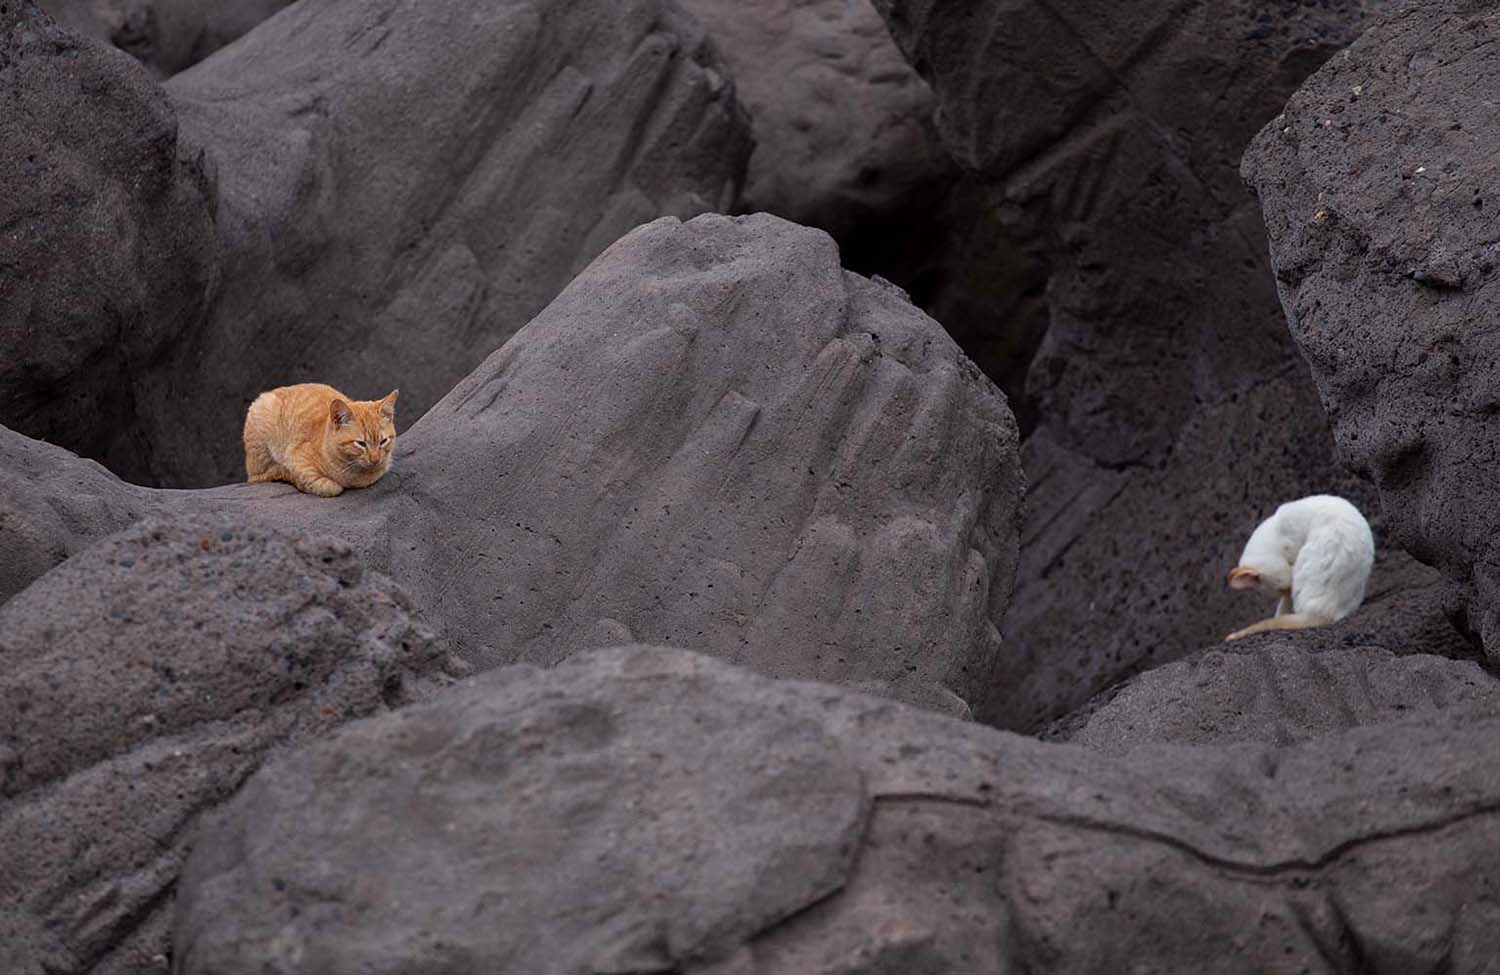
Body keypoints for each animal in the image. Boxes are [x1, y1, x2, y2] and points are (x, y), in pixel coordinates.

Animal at [240, 381, 396, 498]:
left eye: (383, 441)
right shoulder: (297, 461)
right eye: (361, 444)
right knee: (258, 476)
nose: (375, 459)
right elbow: (330, 487)